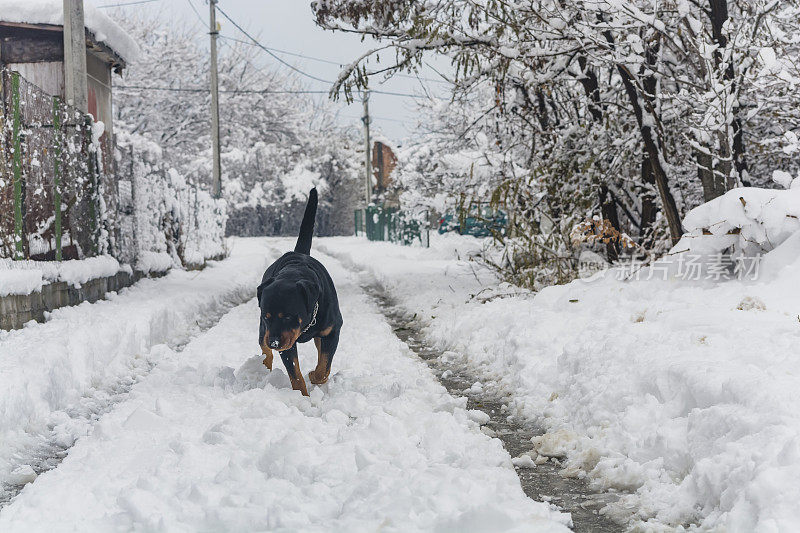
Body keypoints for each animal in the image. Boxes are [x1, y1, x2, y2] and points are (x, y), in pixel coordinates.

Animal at [258, 188, 342, 394]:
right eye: (266, 316)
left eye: (288, 316)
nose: (274, 343)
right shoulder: (281, 338)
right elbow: (294, 374)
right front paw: (302, 396)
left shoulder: (333, 330)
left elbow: (324, 365)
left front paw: (314, 376)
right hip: (263, 332)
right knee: (264, 350)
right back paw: (264, 365)